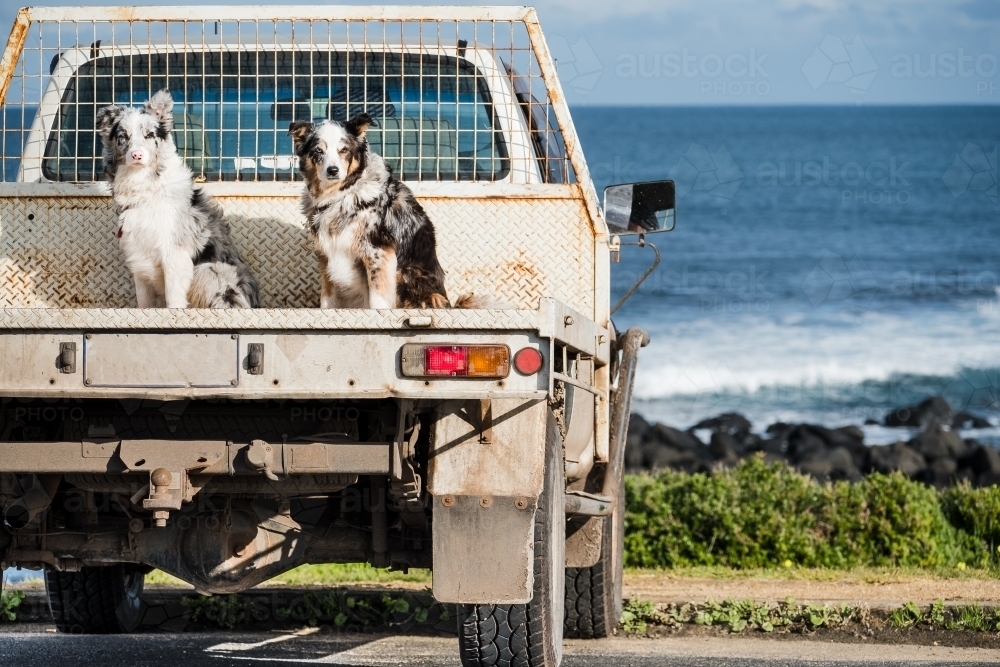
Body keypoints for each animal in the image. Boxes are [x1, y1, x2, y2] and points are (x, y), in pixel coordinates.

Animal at [97, 89, 260, 310]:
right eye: (123, 136)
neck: (146, 186)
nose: (137, 155)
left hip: (211, 269)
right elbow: (144, 302)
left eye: (149, 135)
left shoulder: (174, 252)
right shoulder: (139, 255)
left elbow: (173, 298)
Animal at [290, 114, 492, 310]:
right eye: (318, 151)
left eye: (344, 150)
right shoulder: (327, 255)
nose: (333, 170)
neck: (341, 195)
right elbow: (327, 301)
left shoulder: (378, 251)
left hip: (409, 271)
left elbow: (377, 301)